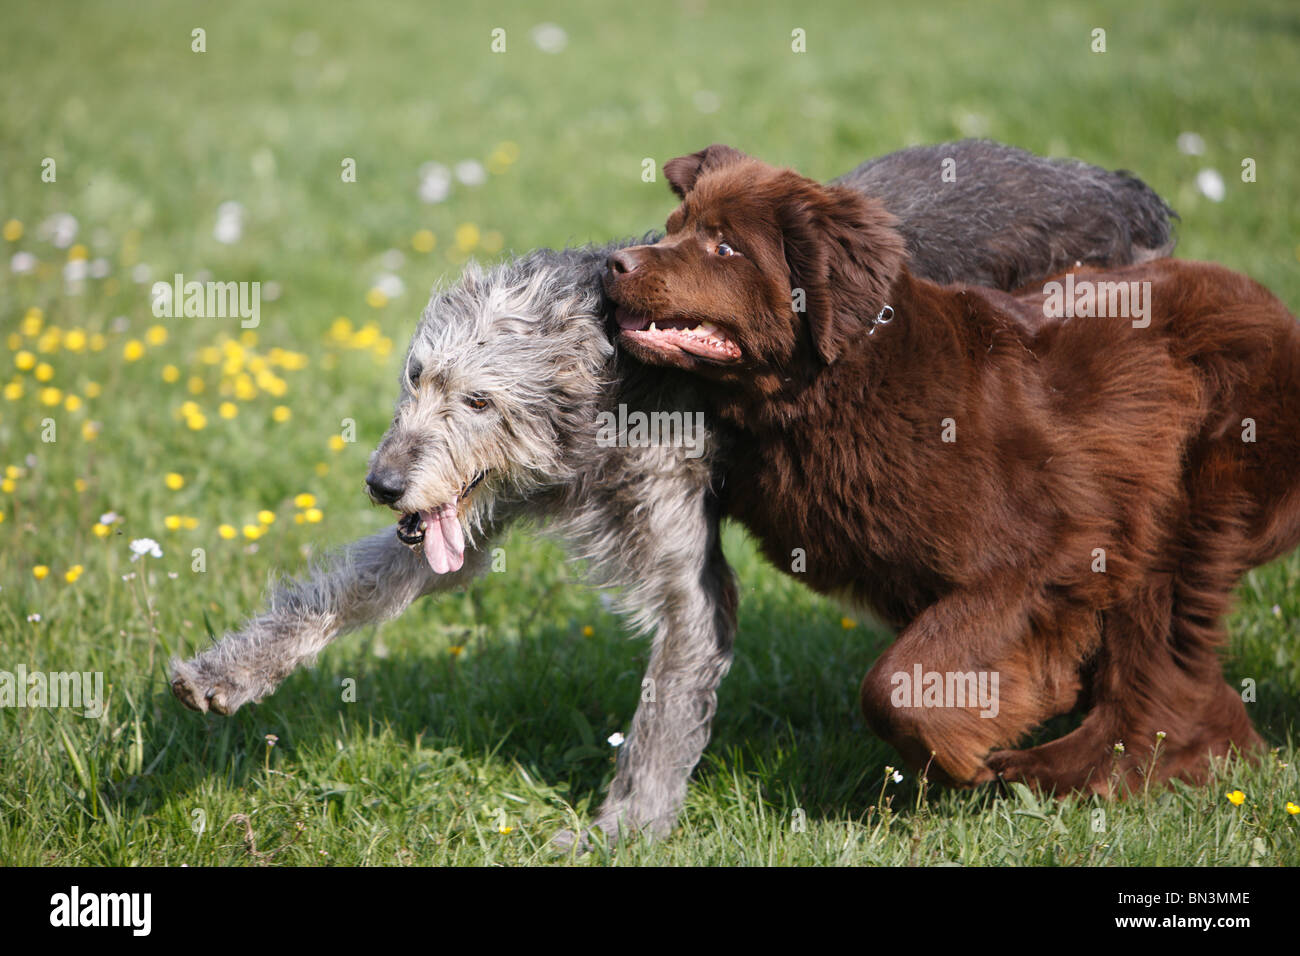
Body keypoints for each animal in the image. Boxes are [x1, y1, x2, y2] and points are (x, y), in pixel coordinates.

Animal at [172, 141, 1180, 842]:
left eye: (478, 399)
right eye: (416, 378)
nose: (382, 483)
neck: (605, 379)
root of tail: (1119, 185)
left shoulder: (689, 570)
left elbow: (666, 708)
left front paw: (621, 830)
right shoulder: (482, 511)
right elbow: (355, 588)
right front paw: (227, 674)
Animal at [605, 145, 1300, 796]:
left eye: (724, 246)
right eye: (674, 227)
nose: (615, 264)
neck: (832, 389)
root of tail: (1275, 308)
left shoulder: (1056, 546)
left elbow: (893, 684)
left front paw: (960, 761)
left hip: (1188, 499)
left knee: (1158, 668)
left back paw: (1079, 771)